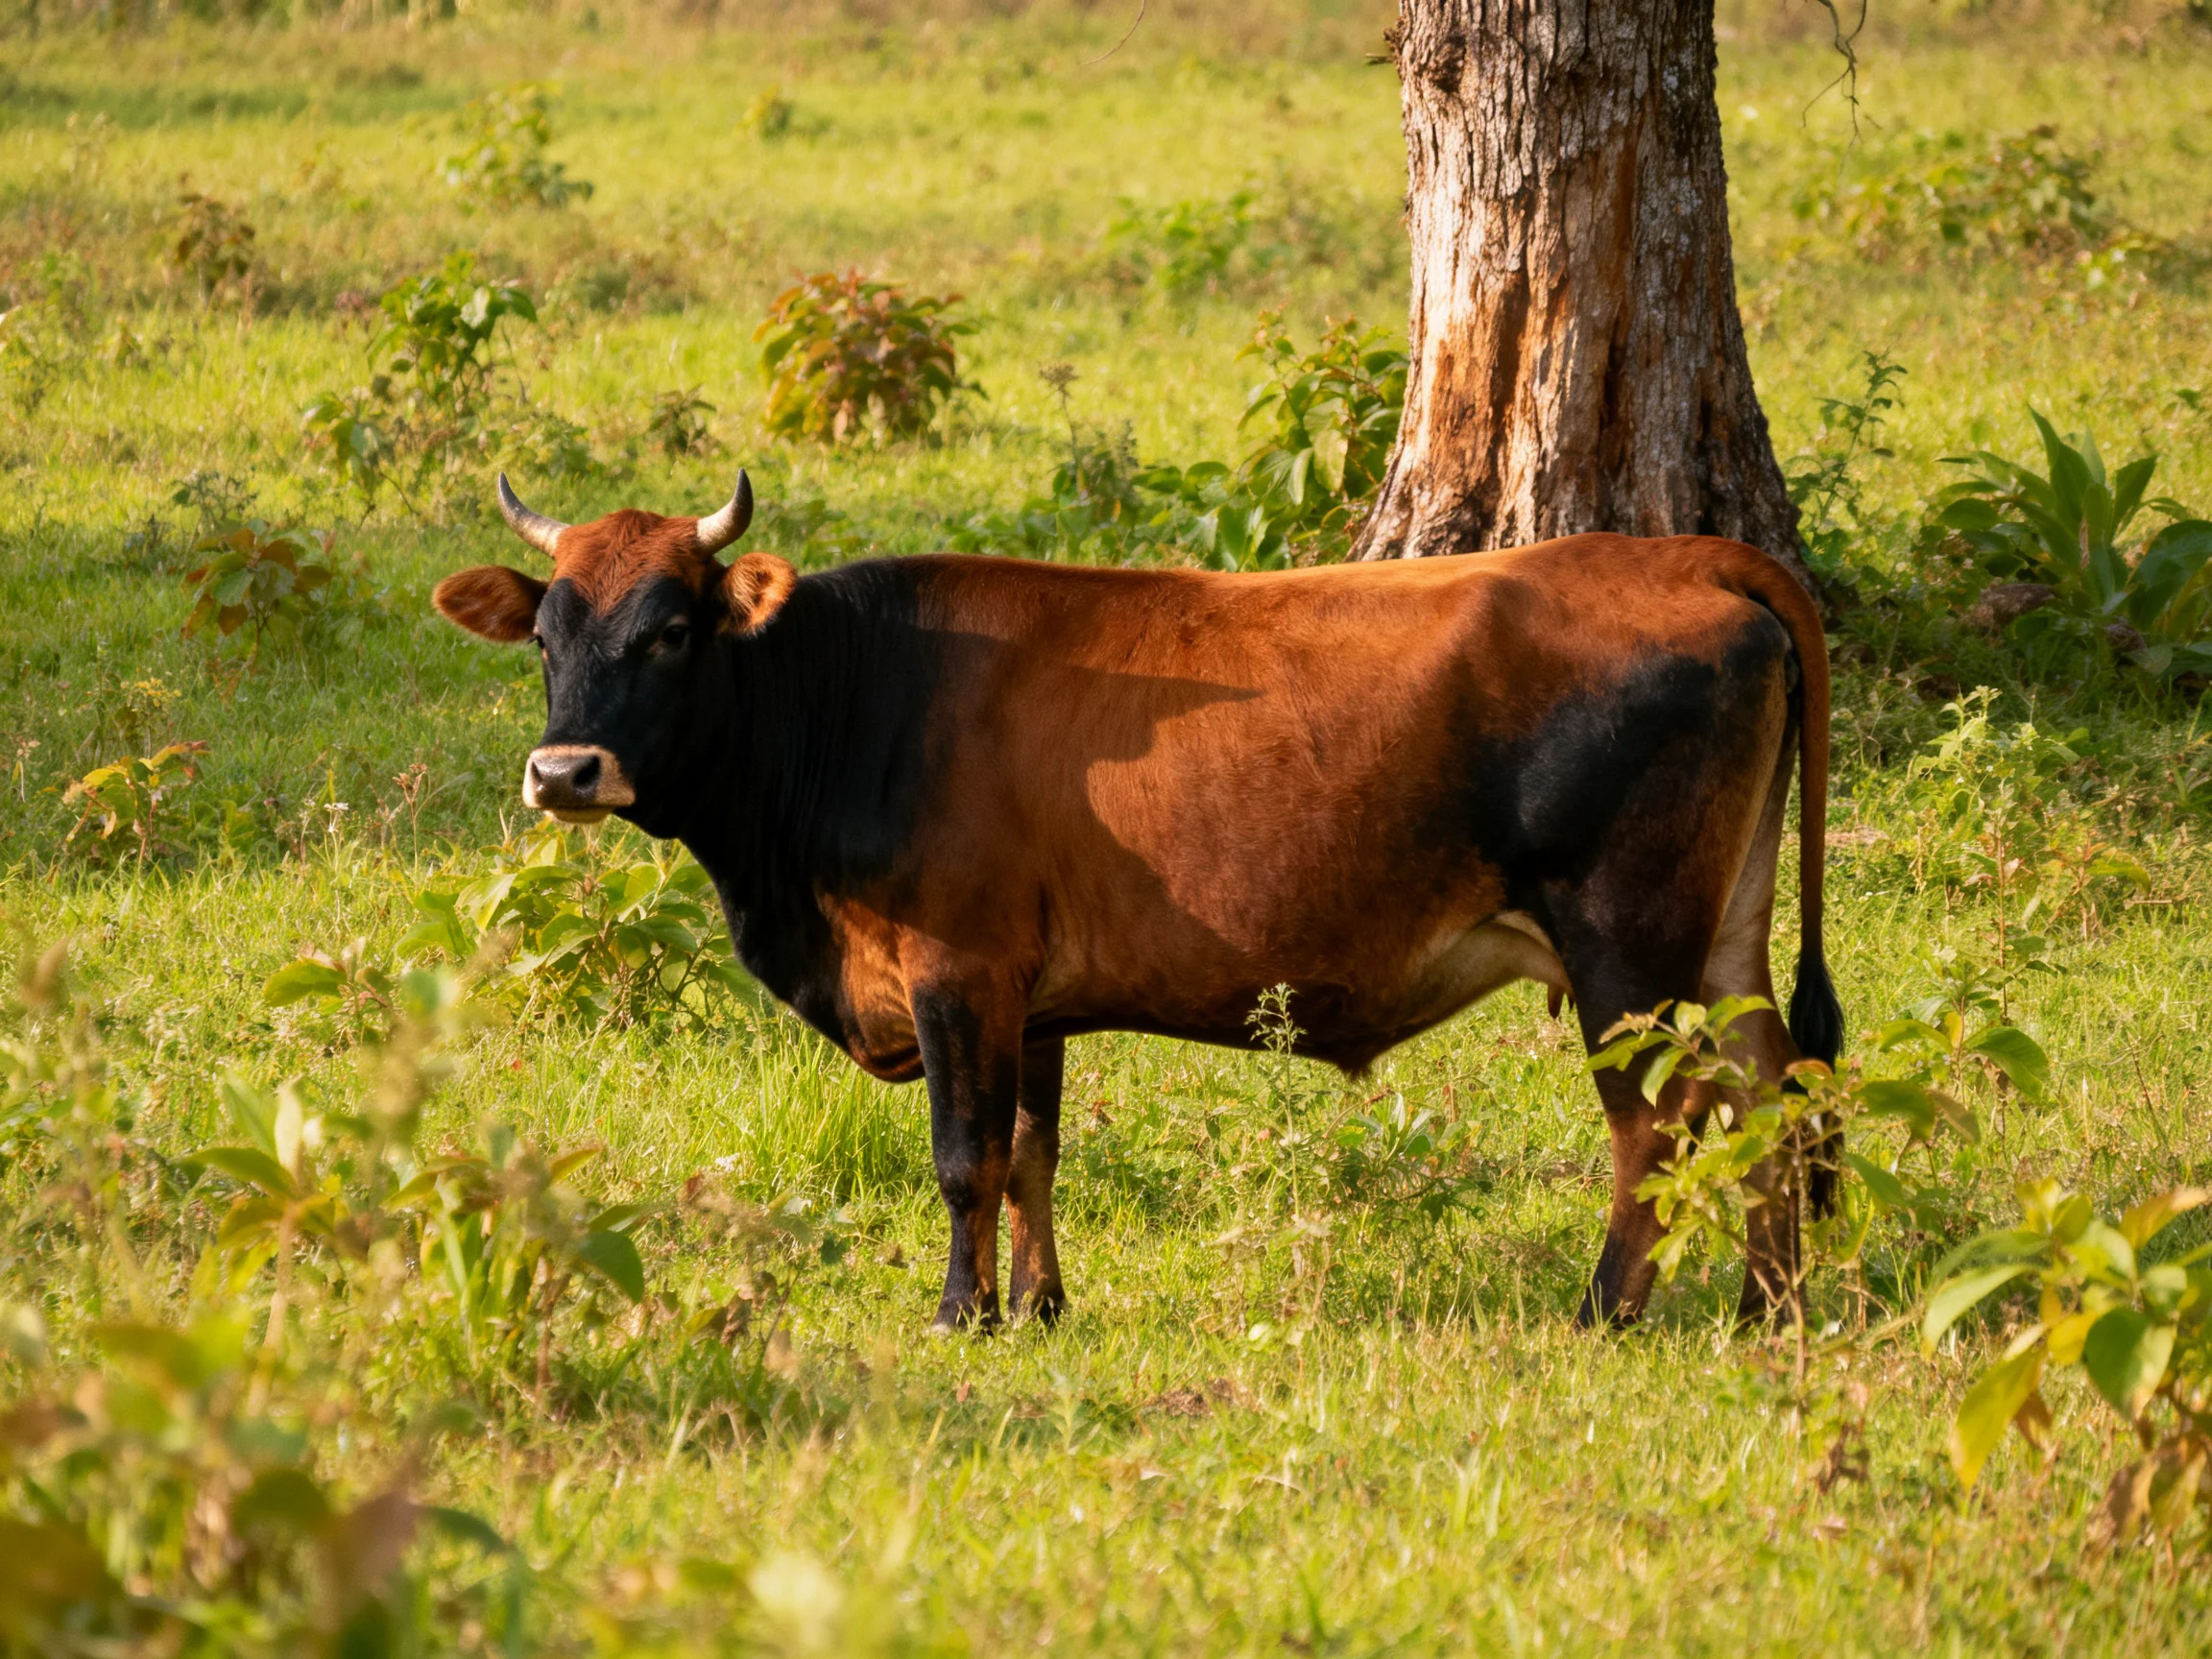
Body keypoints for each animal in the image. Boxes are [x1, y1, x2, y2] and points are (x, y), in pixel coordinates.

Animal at [433, 470, 1843, 1333]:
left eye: (671, 629)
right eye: (548, 635)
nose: (564, 773)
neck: (857, 692)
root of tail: (1689, 559)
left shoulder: (958, 973)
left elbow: (964, 1159)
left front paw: (960, 1314)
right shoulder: (1028, 1001)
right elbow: (1031, 1153)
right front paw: (1040, 1308)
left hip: (1626, 950)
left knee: (1658, 1123)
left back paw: (1609, 1311)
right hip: (1724, 935)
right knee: (1771, 1086)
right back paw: (1770, 1304)